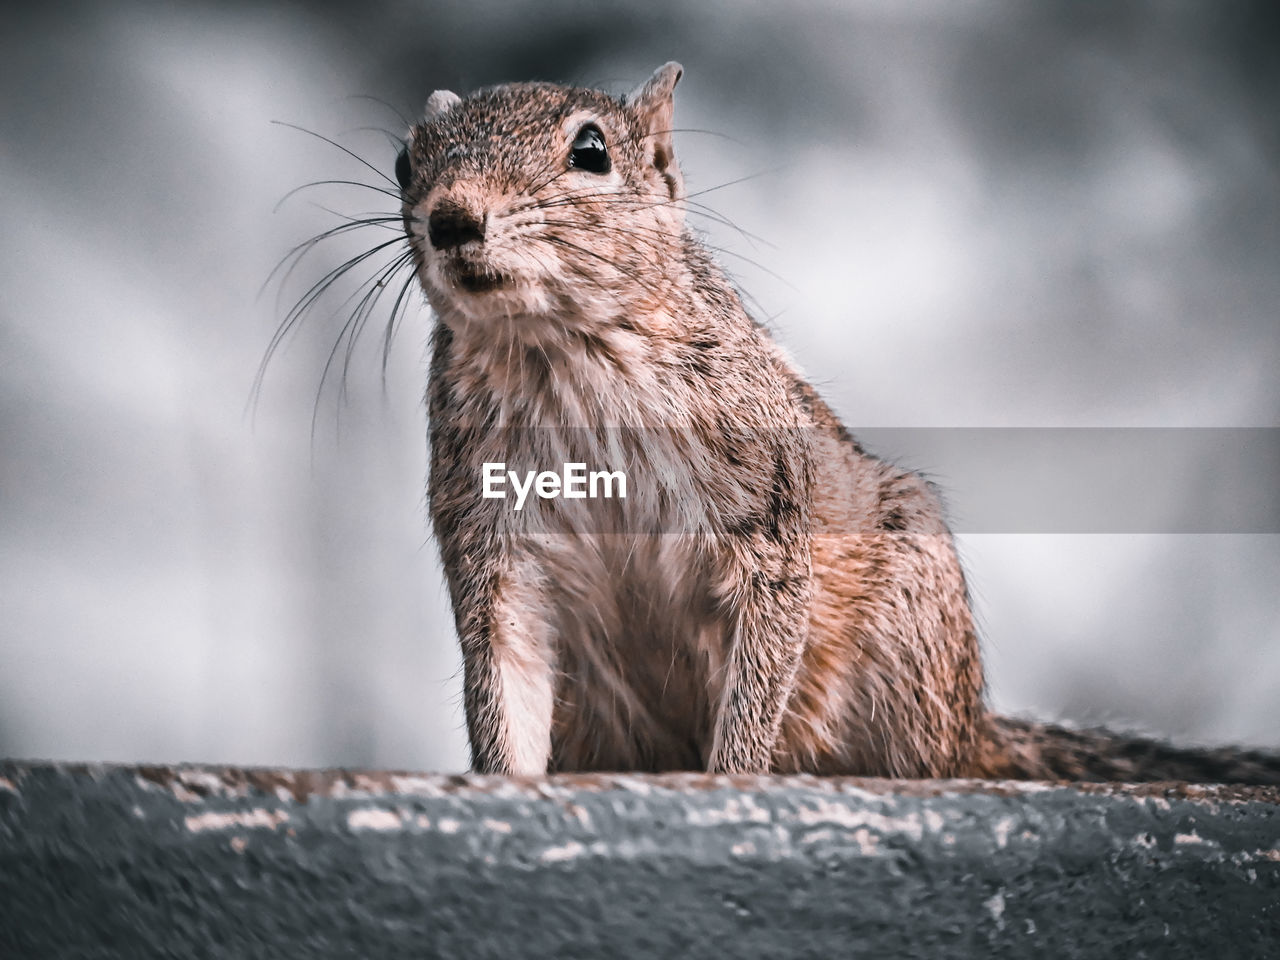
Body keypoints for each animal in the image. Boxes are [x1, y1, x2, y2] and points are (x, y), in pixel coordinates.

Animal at [389, 60, 1280, 783]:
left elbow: (760, 668)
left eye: (591, 152)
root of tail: (974, 731)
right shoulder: (494, 546)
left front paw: (734, 777)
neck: (558, 352)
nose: (452, 219)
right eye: (405, 161)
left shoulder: (769, 521)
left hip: (909, 622)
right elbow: (504, 683)